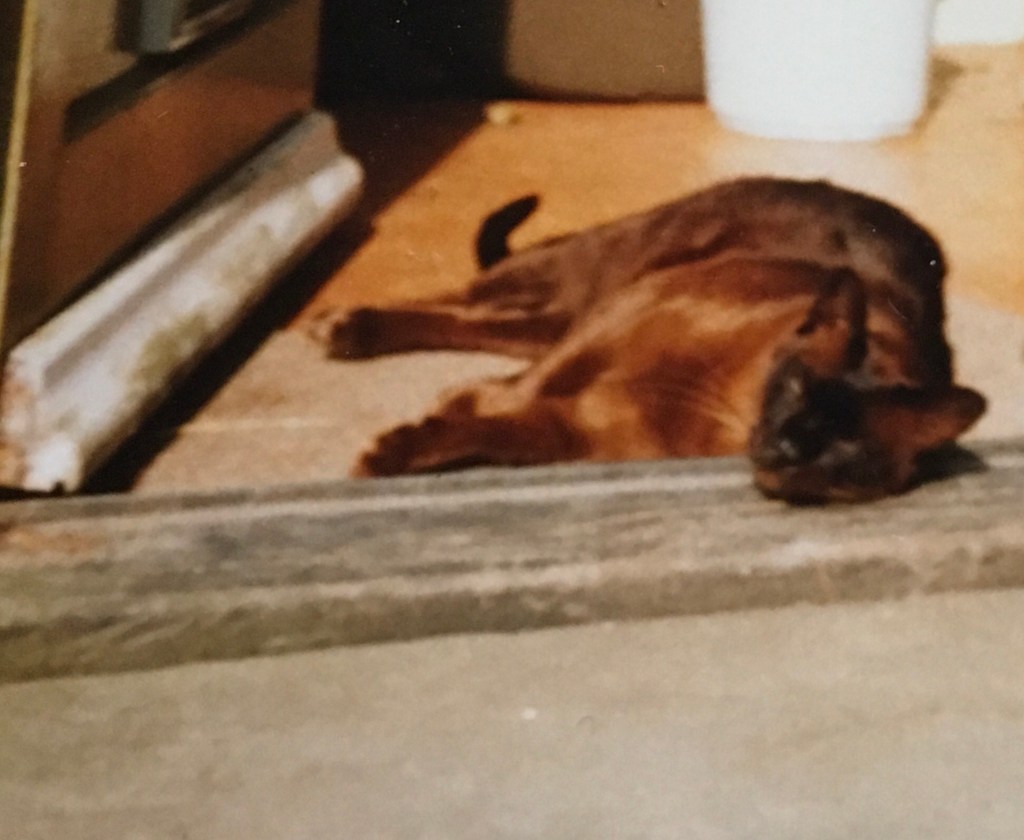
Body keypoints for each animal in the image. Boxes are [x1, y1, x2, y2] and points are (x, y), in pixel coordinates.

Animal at [310, 177, 985, 503]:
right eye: (795, 387)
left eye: (846, 445)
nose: (783, 449)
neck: (722, 405)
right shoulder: (624, 314)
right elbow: (506, 397)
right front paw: (426, 425)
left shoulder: (576, 433)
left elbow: (496, 427)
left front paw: (422, 436)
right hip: (592, 275)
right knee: (463, 297)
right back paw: (341, 324)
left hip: (567, 308)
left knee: (493, 325)